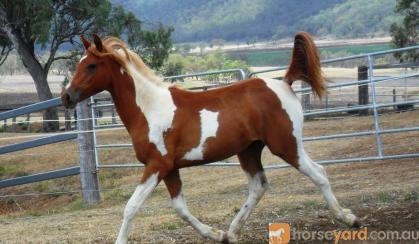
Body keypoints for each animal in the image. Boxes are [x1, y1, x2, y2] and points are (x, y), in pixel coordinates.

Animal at [62, 33, 360, 244]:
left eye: (91, 65)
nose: (66, 97)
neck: (150, 108)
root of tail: (283, 83)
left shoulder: (156, 165)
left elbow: (131, 207)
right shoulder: (170, 169)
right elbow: (180, 208)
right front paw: (215, 234)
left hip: (285, 145)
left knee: (318, 173)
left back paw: (348, 218)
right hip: (249, 150)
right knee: (259, 186)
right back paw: (231, 233)